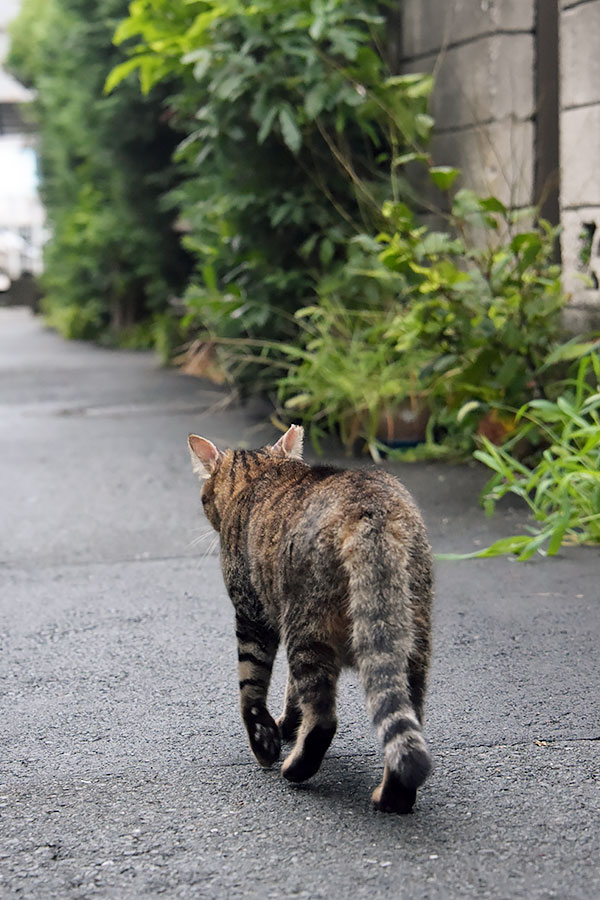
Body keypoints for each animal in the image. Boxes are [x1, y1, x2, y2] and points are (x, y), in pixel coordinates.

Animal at [188, 426, 432, 812]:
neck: (259, 475)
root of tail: (370, 510)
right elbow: (290, 691)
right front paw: (288, 724)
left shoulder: (253, 615)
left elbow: (251, 688)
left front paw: (267, 740)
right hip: (410, 640)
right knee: (406, 719)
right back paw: (393, 798)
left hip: (308, 628)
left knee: (323, 720)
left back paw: (295, 770)